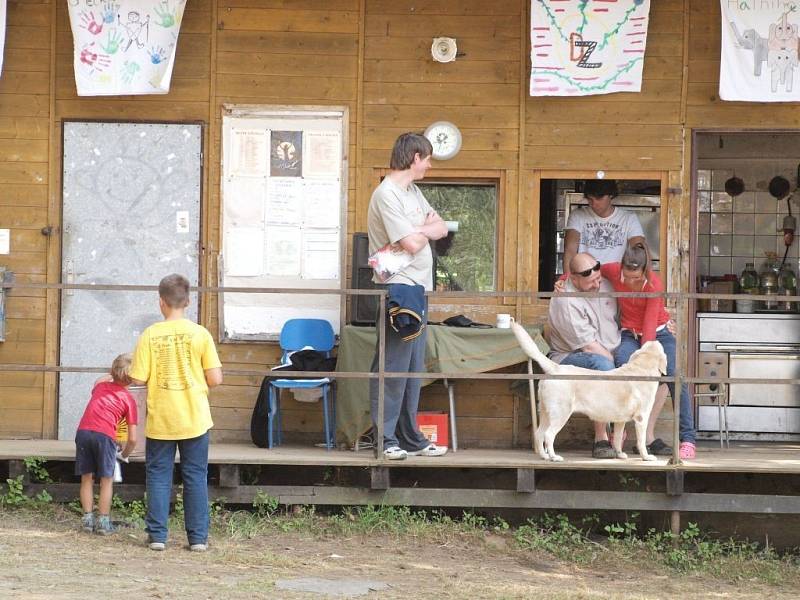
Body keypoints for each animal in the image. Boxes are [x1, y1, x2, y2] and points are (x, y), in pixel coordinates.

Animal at [512, 322, 668, 462]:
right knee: (548, 435)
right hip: (561, 413)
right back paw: (554, 457)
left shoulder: (620, 420)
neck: (641, 367)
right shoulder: (642, 418)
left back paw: (544, 456)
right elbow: (641, 441)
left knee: (539, 434)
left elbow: (617, 438)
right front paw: (646, 457)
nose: (654, 338)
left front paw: (619, 454)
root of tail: (555, 368)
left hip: (546, 412)